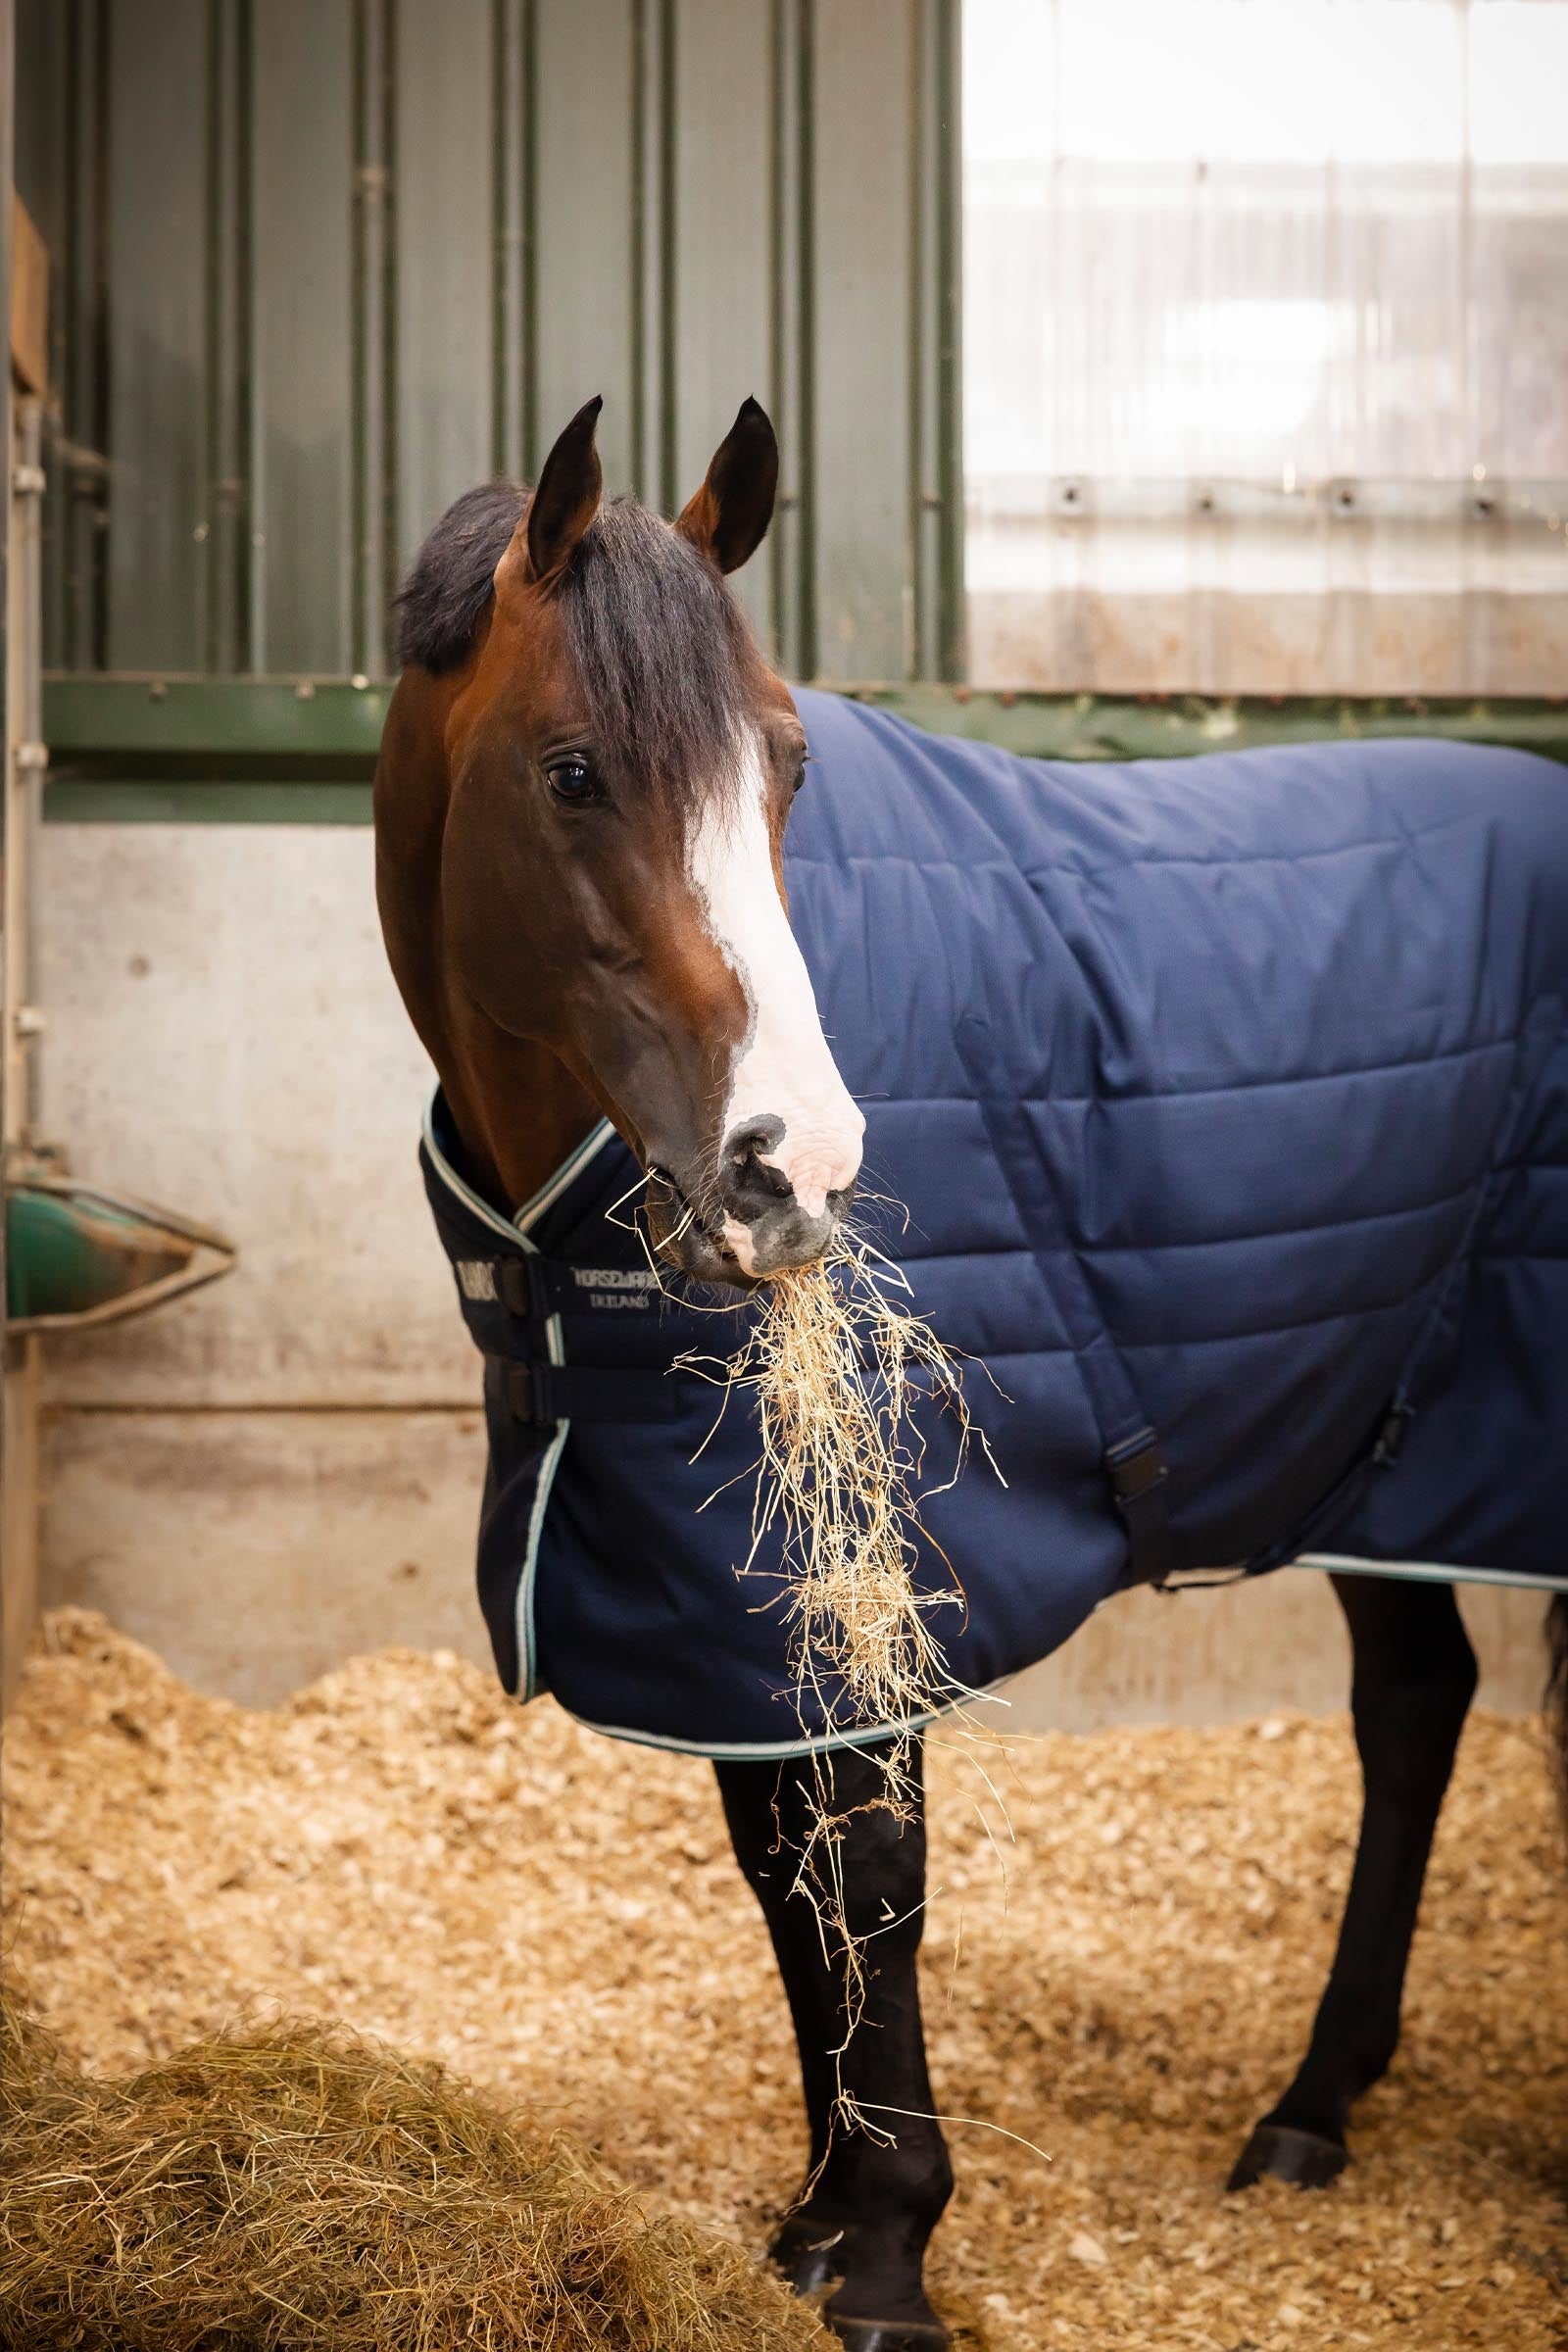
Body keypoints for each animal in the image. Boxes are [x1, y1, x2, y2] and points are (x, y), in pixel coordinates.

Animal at [374, 394, 1568, 2352]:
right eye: (571, 772)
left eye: (787, 768)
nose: (794, 1167)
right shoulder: (729, 1596)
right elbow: (788, 1876)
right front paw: (818, 2220)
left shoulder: (862, 1564)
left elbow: (868, 1874)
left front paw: (881, 2255)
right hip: (1392, 1445)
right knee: (1417, 1707)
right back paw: (1312, 2110)